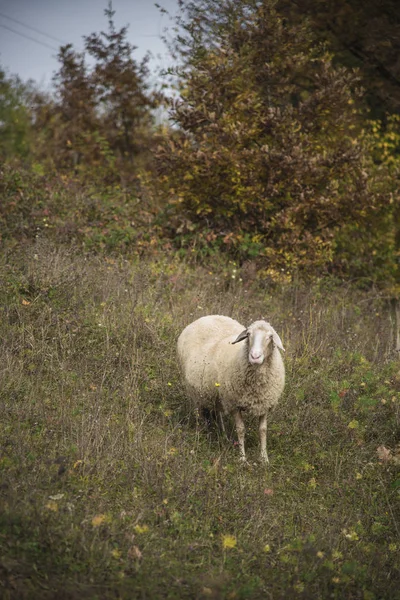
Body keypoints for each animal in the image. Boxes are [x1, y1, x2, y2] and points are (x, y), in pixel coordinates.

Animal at [177, 314, 284, 464]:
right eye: (248, 334)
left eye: (270, 336)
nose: (255, 356)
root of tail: (207, 316)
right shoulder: (234, 404)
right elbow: (241, 430)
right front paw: (242, 458)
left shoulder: (265, 404)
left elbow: (263, 430)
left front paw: (264, 459)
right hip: (195, 392)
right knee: (199, 413)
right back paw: (200, 433)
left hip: (217, 394)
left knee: (218, 413)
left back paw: (224, 436)